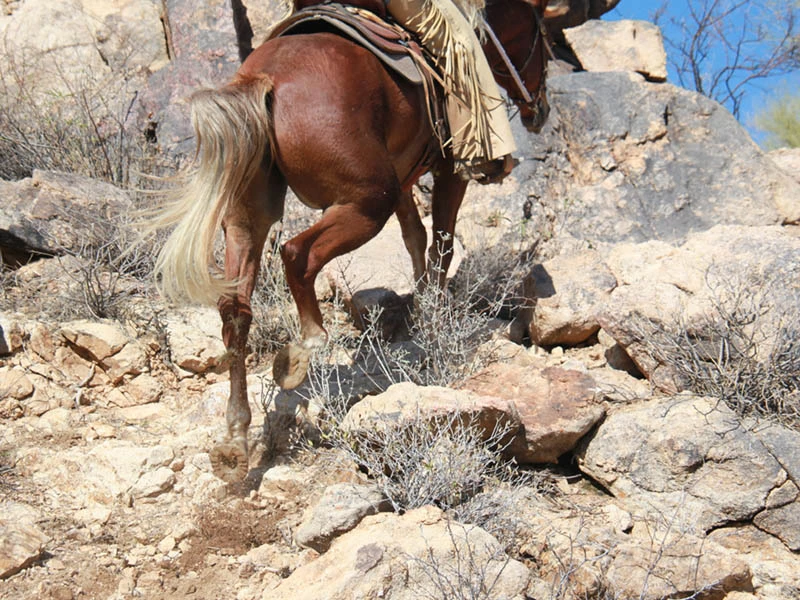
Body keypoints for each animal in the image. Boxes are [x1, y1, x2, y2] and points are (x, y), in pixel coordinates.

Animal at [150, 0, 551, 482]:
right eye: (542, 32)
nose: (541, 110)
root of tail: (262, 79)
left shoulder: (403, 178)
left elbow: (415, 236)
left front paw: (420, 304)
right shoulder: (447, 169)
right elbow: (441, 242)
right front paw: (435, 312)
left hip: (250, 215)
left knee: (235, 311)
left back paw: (235, 438)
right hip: (366, 202)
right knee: (296, 254)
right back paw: (305, 348)